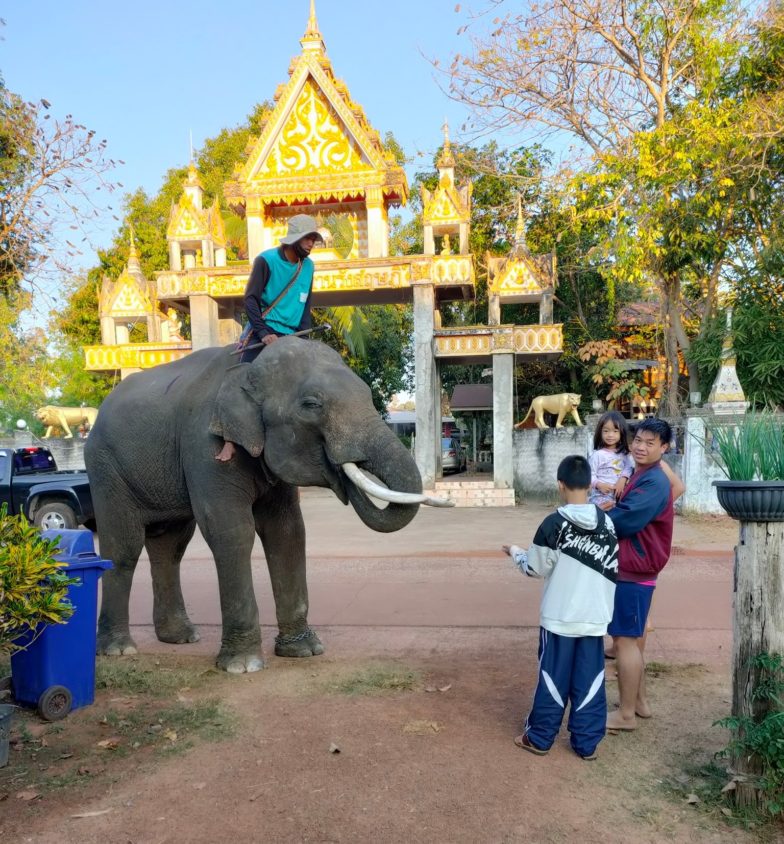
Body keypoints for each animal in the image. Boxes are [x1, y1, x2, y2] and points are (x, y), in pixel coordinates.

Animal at [85, 336, 448, 672]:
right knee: (124, 545)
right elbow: (231, 530)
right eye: (311, 404)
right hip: (105, 468)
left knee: (170, 546)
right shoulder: (204, 446)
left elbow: (287, 532)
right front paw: (242, 666)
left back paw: (181, 637)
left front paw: (304, 651)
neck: (250, 369)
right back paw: (119, 649)